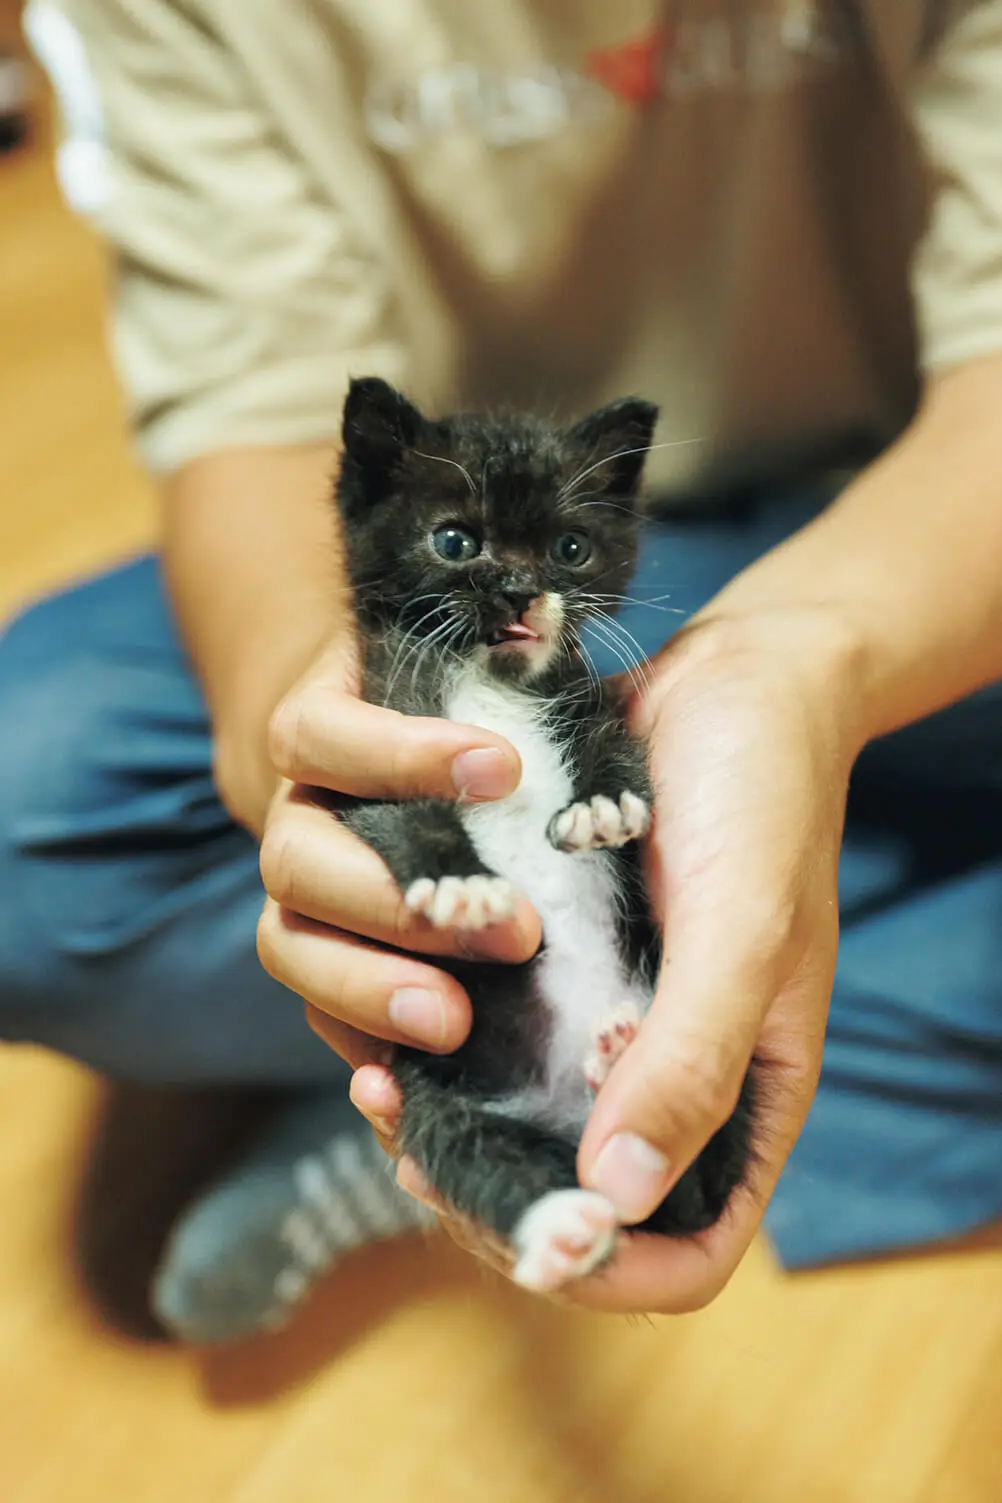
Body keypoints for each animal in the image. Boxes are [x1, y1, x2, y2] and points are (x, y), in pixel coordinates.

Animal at [336, 375, 751, 1292]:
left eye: (569, 547)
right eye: (456, 540)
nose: (522, 588)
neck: (491, 681)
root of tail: (574, 1108)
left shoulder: (588, 701)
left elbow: (614, 749)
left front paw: (601, 807)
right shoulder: (381, 739)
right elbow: (405, 812)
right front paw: (462, 881)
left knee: (696, 1186)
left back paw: (630, 1057)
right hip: (442, 1100)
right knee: (481, 1155)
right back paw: (563, 1222)